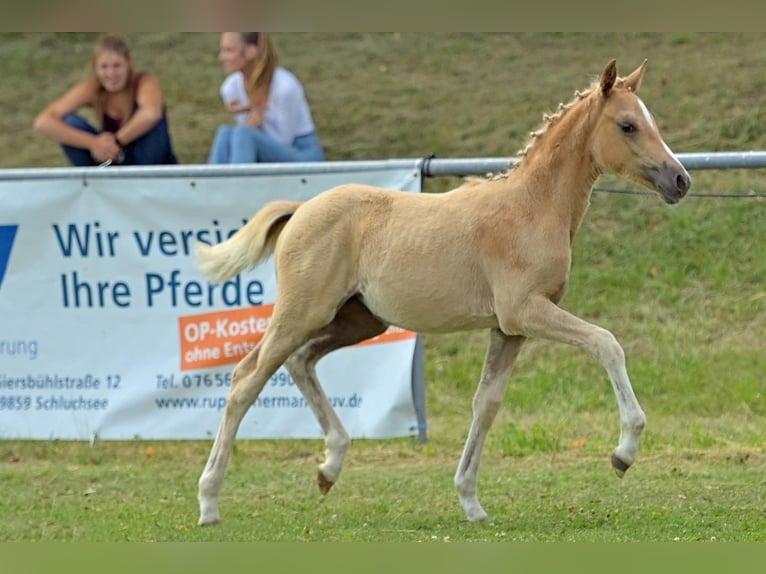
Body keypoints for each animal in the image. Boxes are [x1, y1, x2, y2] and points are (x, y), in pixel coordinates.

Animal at [195, 59, 692, 528]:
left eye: (650, 120)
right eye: (627, 125)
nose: (680, 180)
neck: (532, 207)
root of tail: (300, 209)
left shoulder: (509, 330)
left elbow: (486, 404)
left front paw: (471, 502)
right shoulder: (525, 311)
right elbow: (606, 342)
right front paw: (624, 452)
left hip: (358, 320)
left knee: (301, 361)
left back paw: (329, 466)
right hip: (302, 312)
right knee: (246, 379)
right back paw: (209, 502)